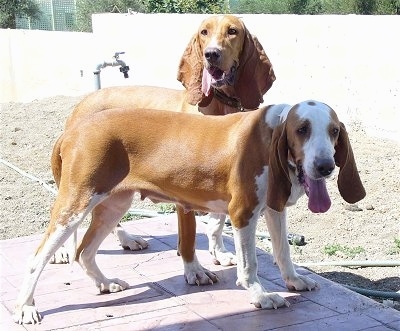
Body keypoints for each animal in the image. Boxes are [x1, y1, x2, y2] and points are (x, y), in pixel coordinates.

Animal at [14, 100, 366, 324]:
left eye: (334, 131)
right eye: (302, 129)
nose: (325, 166)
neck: (270, 130)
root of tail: (73, 129)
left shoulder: (273, 209)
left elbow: (283, 252)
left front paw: (293, 281)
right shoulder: (242, 213)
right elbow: (250, 264)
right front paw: (259, 296)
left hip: (114, 204)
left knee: (84, 251)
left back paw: (104, 283)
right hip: (75, 206)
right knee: (37, 257)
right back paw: (25, 307)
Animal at [50, 14, 276, 272]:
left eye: (232, 31)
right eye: (204, 32)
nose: (211, 54)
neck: (221, 107)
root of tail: (81, 105)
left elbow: (217, 221)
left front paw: (219, 252)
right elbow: (190, 233)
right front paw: (194, 268)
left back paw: (126, 239)